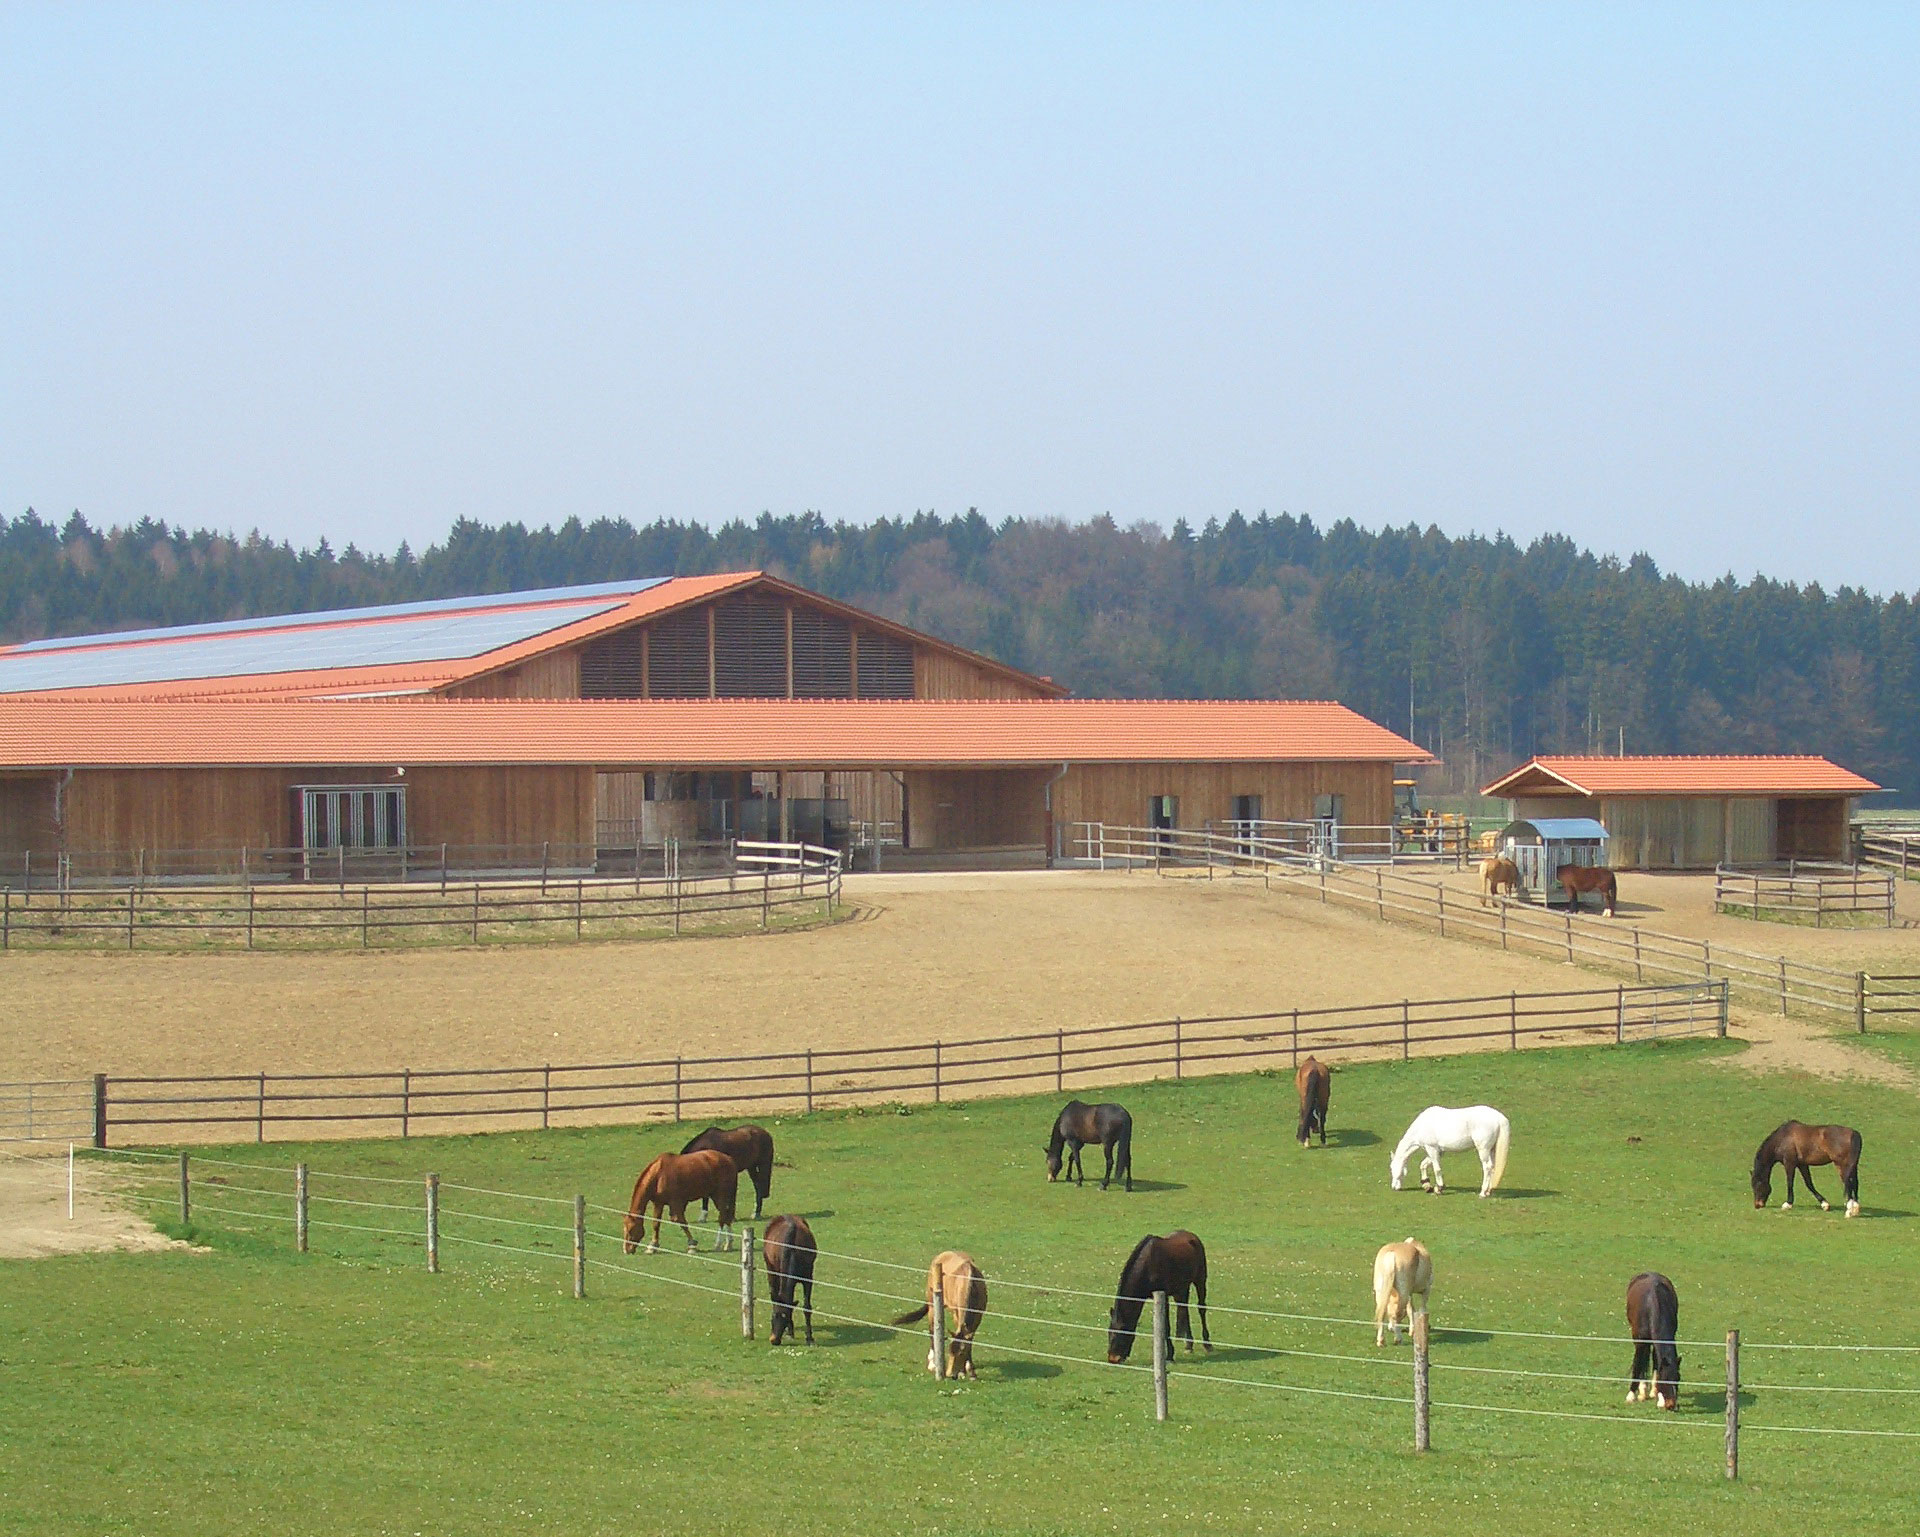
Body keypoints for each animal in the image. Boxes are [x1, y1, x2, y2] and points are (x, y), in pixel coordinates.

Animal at [760, 1212, 814, 1343]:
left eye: (785, 1317)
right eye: (773, 1316)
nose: (774, 1340)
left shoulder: (808, 1279)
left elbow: (806, 1307)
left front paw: (809, 1337)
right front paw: (790, 1332)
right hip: (771, 1270)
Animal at [890, 1243, 990, 1381]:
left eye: (961, 1353)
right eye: (949, 1351)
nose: (950, 1374)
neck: (969, 1283)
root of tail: (941, 1256)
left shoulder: (978, 1316)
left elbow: (969, 1341)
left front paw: (971, 1371)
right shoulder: (957, 1313)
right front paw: (964, 1371)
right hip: (933, 1306)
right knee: (932, 1331)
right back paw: (933, 1363)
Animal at [1105, 1228, 1205, 1358]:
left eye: (1120, 1332)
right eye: (1109, 1332)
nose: (1113, 1359)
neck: (1147, 1265)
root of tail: (1192, 1236)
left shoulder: (1164, 1296)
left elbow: (1166, 1326)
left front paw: (1169, 1355)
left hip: (1200, 1280)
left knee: (1201, 1308)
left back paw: (1207, 1344)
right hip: (1181, 1289)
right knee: (1183, 1310)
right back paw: (1188, 1345)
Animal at [1628, 1266, 1689, 1412]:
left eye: (1678, 1378)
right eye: (1664, 1379)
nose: (1671, 1405)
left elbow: (1657, 1362)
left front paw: (1659, 1398)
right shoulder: (1640, 1340)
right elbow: (1638, 1363)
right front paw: (1631, 1395)